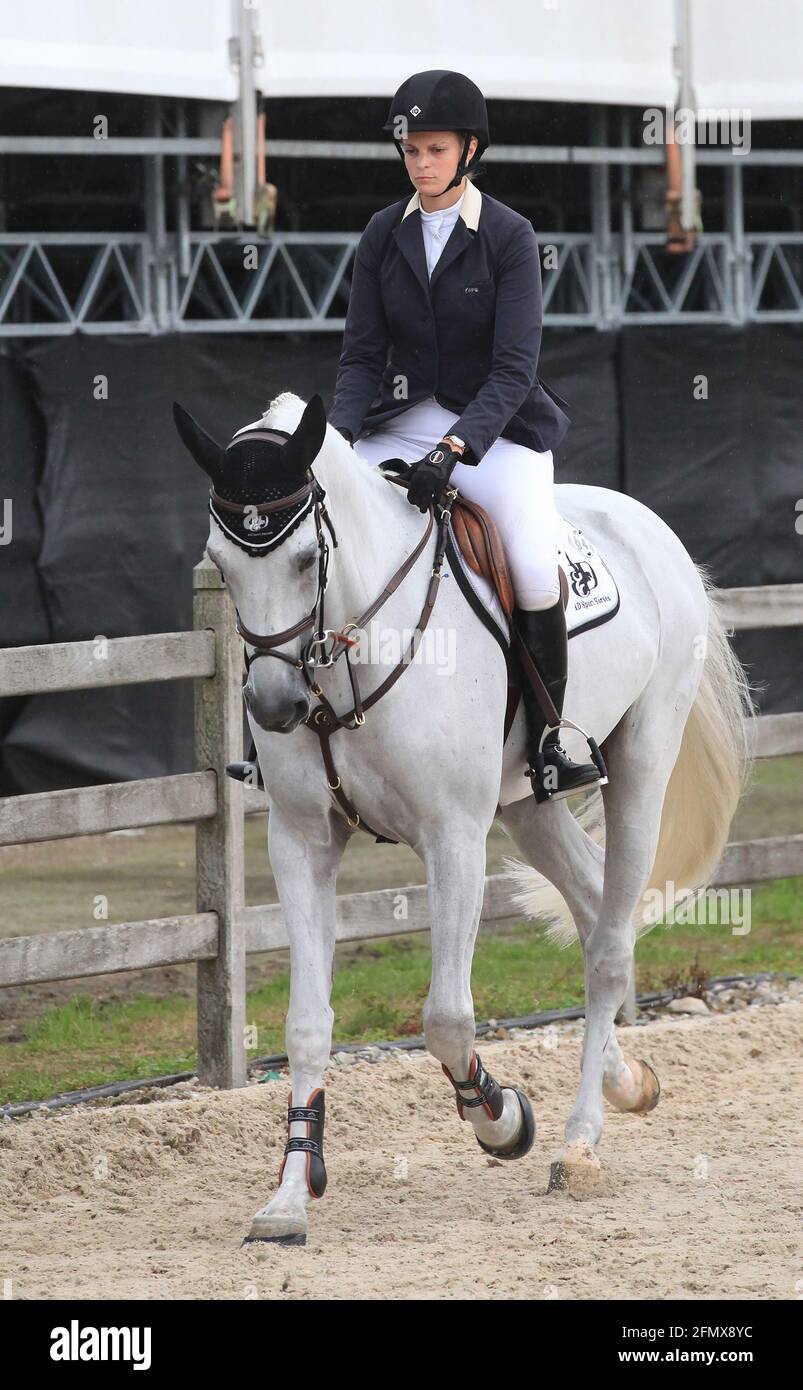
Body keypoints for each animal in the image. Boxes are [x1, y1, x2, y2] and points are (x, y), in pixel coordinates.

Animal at [170, 391, 750, 1251]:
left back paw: (579, 1143)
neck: (349, 649)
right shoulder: (301, 842)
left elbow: (446, 1018)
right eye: (222, 560)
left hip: (642, 760)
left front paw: (501, 1119)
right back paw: (626, 1081)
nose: (273, 709)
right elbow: (307, 1024)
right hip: (526, 807)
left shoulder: (452, 838)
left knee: (611, 940)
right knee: (591, 908)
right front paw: (289, 1196)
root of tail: (646, 523)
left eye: (306, 560)